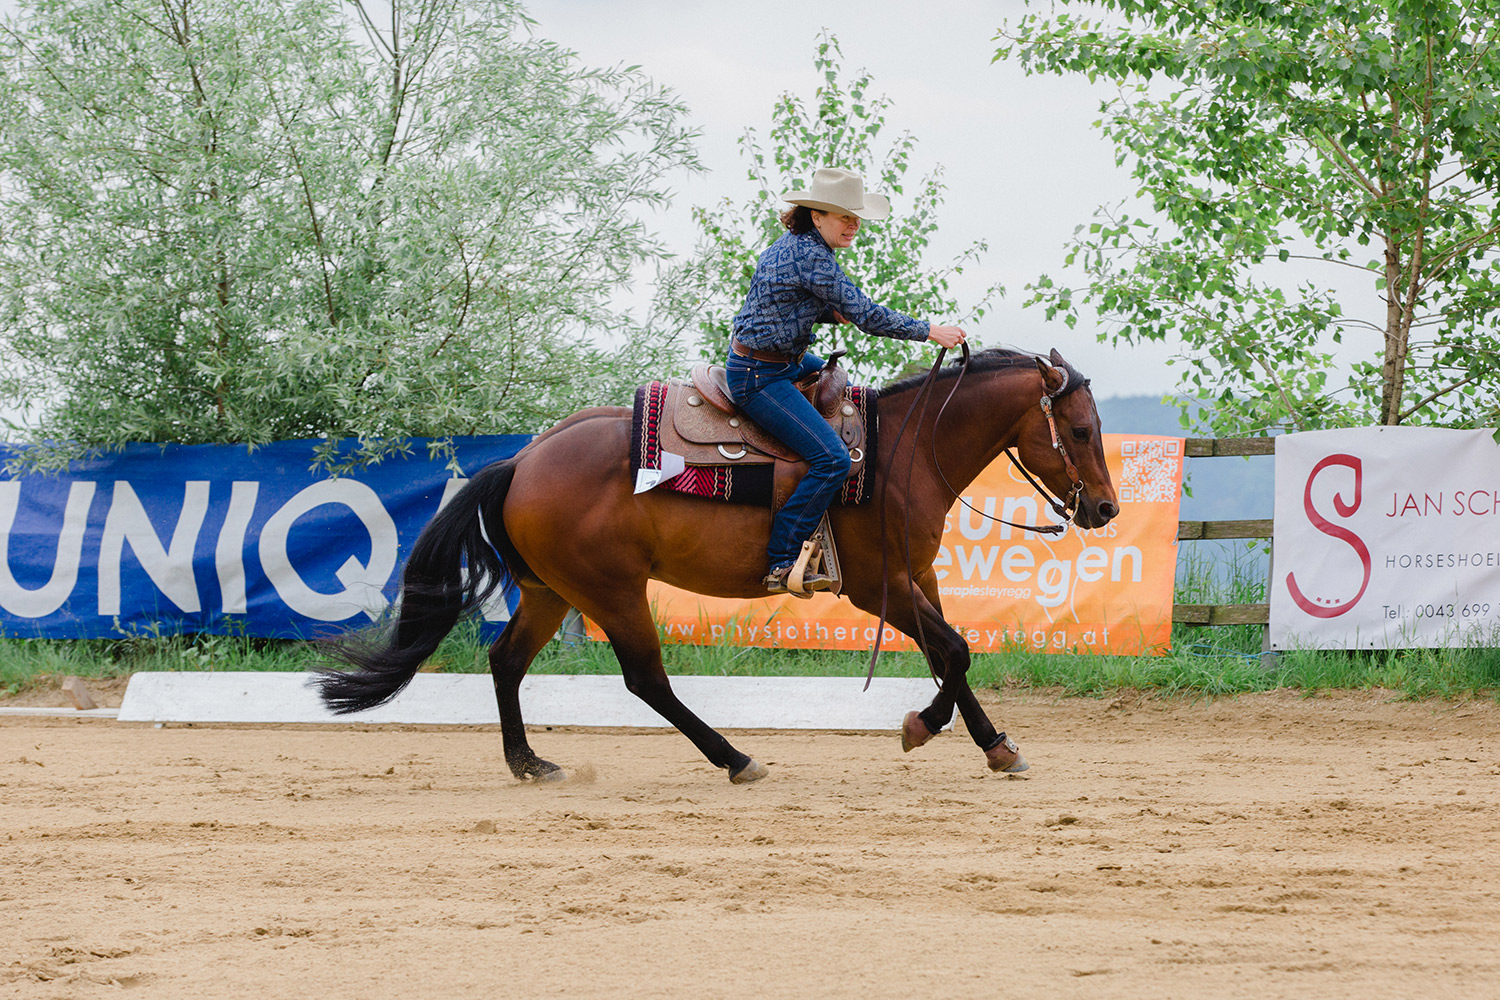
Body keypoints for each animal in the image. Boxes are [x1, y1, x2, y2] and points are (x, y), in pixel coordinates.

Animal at [313, 347, 1116, 785]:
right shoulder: (877, 585)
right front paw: (923, 726)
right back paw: (734, 758)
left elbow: (951, 652)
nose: (1106, 509)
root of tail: (522, 461)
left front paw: (995, 746)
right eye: (1079, 429)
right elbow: (955, 649)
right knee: (646, 680)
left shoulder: (918, 579)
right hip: (611, 591)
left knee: (507, 661)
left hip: (550, 590)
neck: (901, 452)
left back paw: (530, 764)